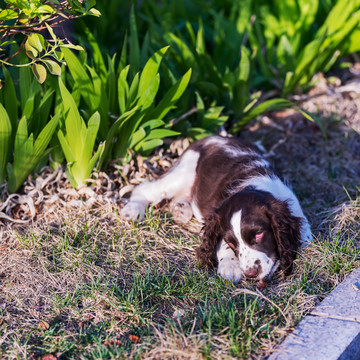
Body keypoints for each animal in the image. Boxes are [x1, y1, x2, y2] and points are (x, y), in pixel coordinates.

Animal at [121, 136, 312, 282]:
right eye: (231, 242)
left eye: (258, 235)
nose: (250, 273)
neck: (255, 186)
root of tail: (210, 138)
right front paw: (231, 266)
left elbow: (305, 239)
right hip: (183, 173)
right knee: (146, 188)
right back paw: (132, 210)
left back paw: (180, 210)